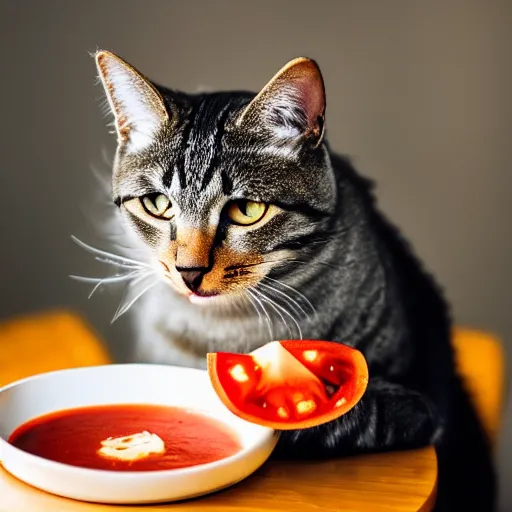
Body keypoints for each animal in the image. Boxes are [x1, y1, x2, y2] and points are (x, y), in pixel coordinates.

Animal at [78, 50, 494, 510]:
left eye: (246, 210)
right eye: (157, 204)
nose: (189, 272)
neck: (228, 329)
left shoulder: (424, 397)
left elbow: (336, 420)